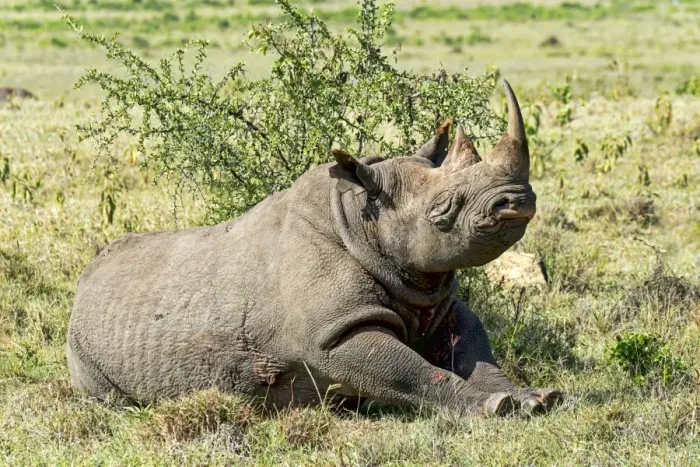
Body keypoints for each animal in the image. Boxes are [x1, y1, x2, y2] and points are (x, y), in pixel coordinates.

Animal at [67, 80, 561, 416]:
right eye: (443, 210)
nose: (518, 201)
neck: (363, 220)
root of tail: (84, 279)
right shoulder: (332, 334)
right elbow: (415, 373)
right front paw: (492, 408)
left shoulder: (438, 302)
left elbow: (475, 351)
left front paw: (536, 399)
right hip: (83, 345)